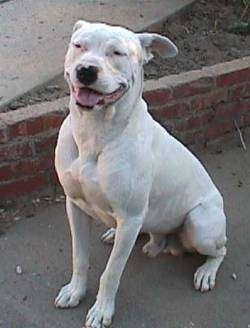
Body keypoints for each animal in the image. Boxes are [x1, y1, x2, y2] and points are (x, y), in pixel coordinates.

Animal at [54, 21, 227, 328]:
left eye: (117, 52)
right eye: (79, 46)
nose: (86, 70)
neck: (95, 133)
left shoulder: (131, 216)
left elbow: (111, 272)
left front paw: (102, 310)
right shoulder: (74, 205)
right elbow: (79, 256)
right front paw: (75, 290)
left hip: (200, 224)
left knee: (221, 249)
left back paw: (206, 272)